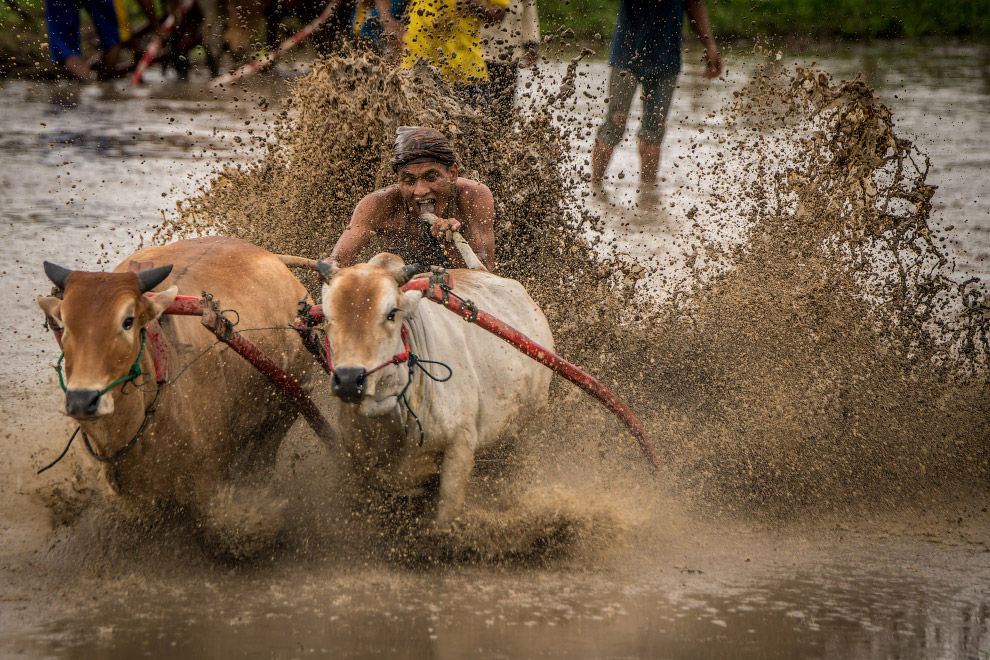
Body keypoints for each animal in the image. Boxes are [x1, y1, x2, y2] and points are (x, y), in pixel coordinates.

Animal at [35, 237, 318, 556]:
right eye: (63, 325)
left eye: (127, 321)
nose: (82, 400)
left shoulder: (212, 472)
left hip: (289, 406)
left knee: (264, 453)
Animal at [318, 254, 556, 524]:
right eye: (326, 316)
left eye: (391, 314)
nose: (349, 379)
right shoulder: (360, 466)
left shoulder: (460, 448)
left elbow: (445, 521)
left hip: (532, 419)